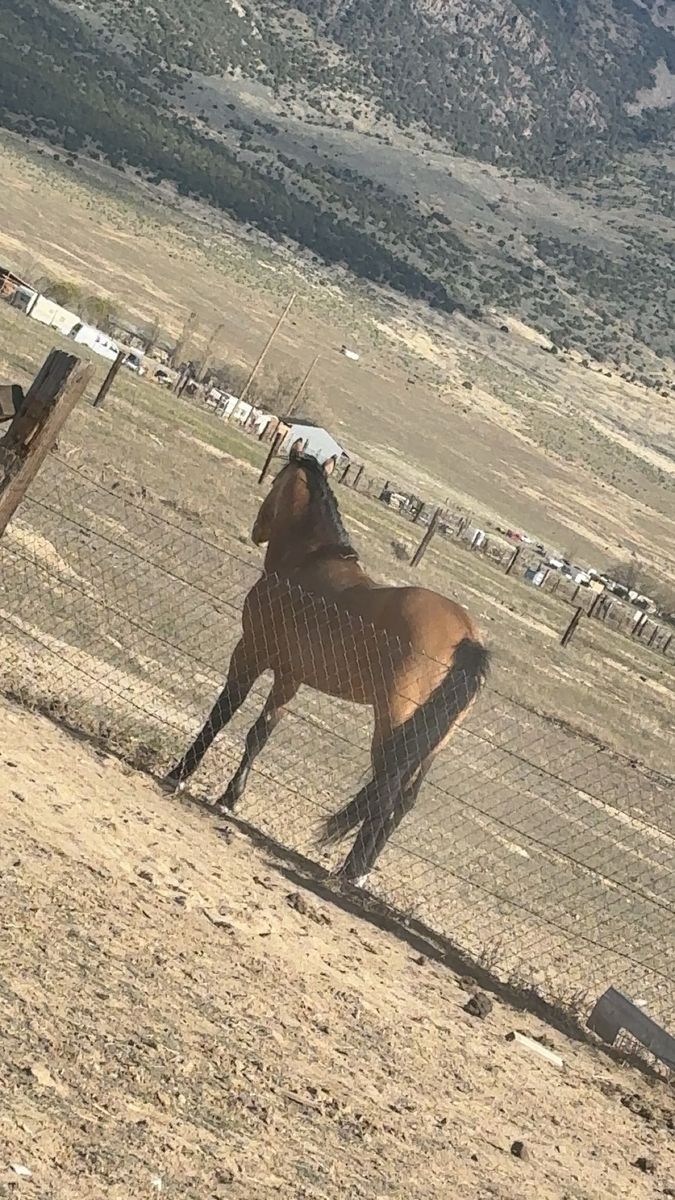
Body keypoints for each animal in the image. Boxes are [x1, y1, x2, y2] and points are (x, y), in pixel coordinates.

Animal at [166, 443, 489, 886]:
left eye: (277, 478)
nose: (257, 529)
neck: (307, 561)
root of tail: (466, 635)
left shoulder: (250, 652)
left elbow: (223, 713)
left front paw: (179, 773)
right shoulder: (290, 676)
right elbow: (259, 733)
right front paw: (229, 798)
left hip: (394, 725)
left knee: (387, 789)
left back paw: (350, 872)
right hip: (433, 742)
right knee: (405, 800)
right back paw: (361, 871)